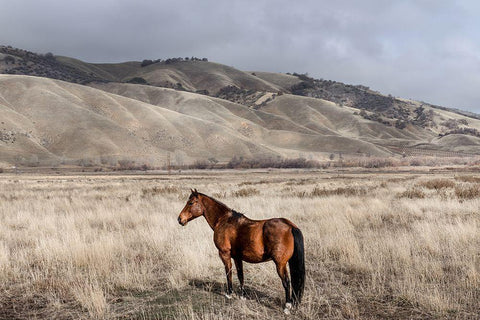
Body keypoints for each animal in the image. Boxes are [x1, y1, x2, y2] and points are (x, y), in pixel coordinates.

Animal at [176, 189, 304, 314]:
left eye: (190, 203)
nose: (179, 219)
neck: (223, 220)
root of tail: (290, 226)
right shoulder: (237, 257)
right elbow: (240, 275)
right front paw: (242, 295)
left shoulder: (224, 254)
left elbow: (228, 272)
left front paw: (229, 293)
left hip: (280, 264)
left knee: (286, 282)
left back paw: (287, 307)